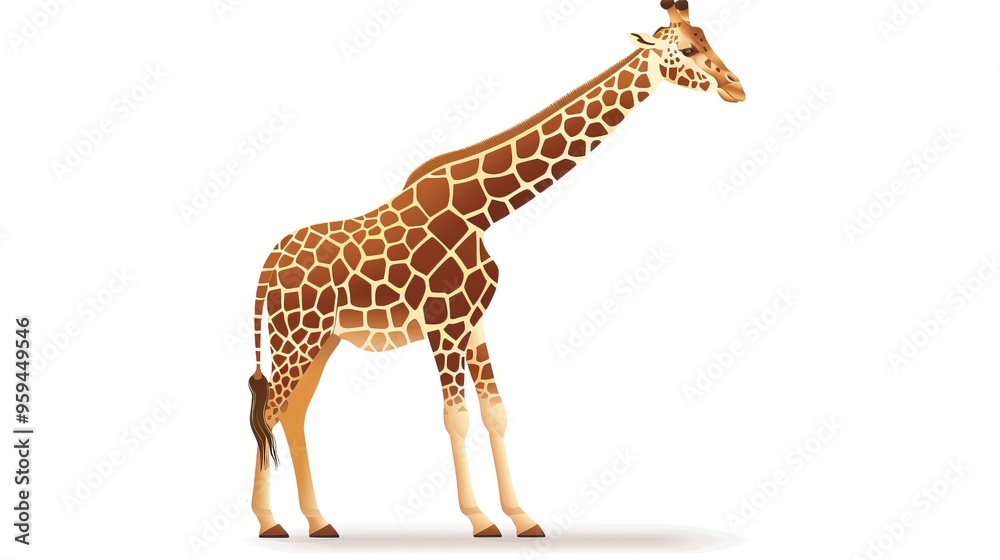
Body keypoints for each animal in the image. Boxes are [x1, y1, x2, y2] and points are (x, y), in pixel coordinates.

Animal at [247, 0, 744, 539]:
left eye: (708, 37)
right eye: (687, 49)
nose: (737, 87)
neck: (480, 211)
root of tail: (266, 267)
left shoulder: (475, 321)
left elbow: (495, 413)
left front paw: (522, 518)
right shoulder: (443, 323)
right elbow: (456, 417)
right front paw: (481, 519)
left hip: (322, 340)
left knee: (291, 412)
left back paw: (318, 522)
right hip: (297, 337)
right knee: (271, 410)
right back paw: (269, 523)